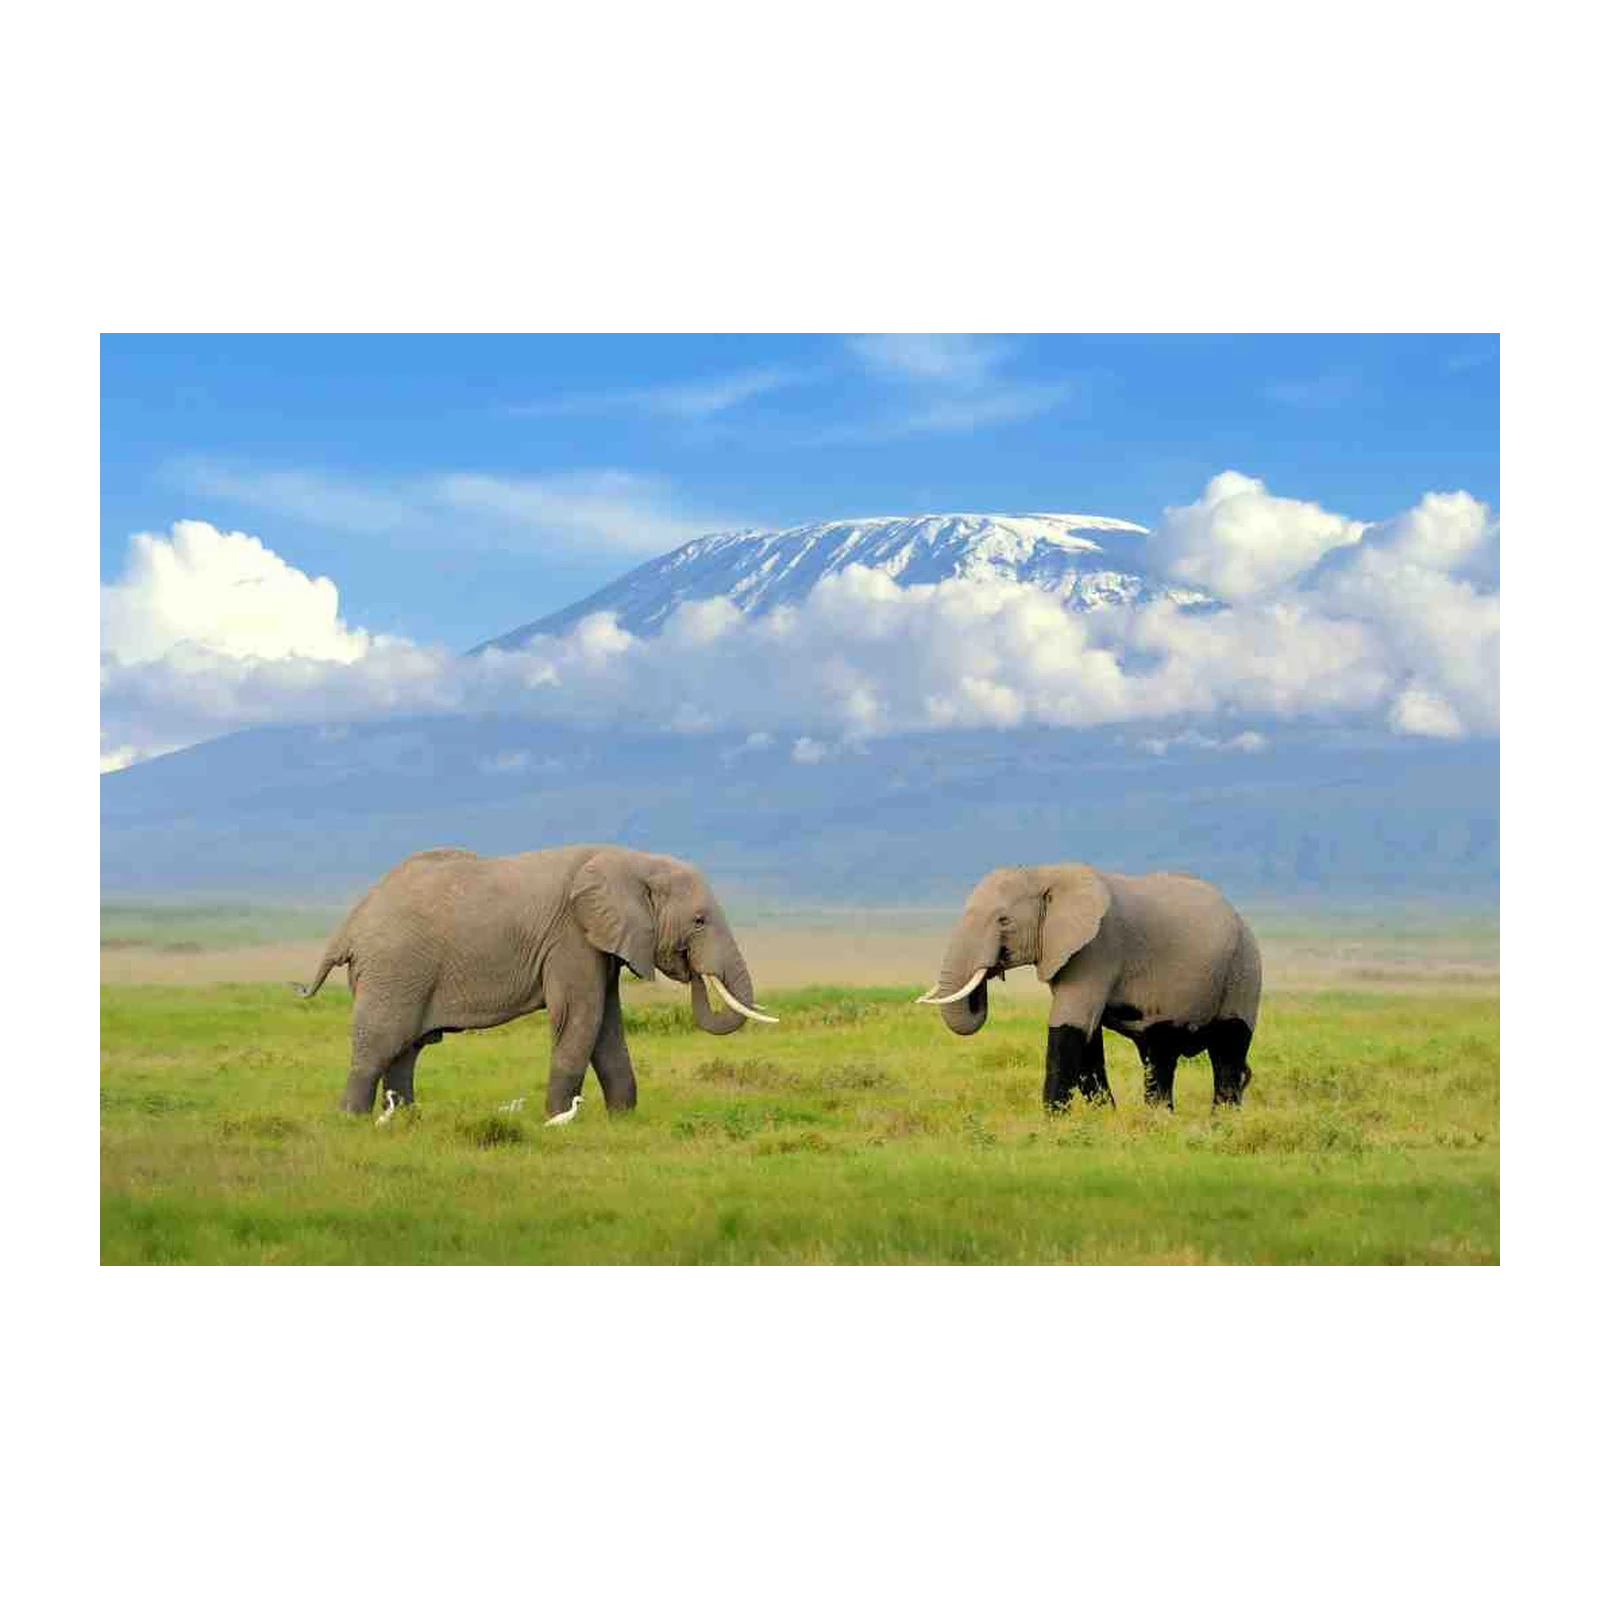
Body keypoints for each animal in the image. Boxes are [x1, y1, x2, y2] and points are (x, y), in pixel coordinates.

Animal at [292, 844, 777, 1117]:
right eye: (699, 921)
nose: (691, 967)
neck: (631, 861)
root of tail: (349, 924)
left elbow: (606, 1025)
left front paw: (623, 1119)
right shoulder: (571, 937)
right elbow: (580, 1017)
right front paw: (558, 1119)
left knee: (406, 1050)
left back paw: (408, 1119)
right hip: (394, 968)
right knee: (380, 1043)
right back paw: (353, 1120)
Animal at [916, 863, 1260, 1113]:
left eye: (1003, 921)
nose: (991, 971)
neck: (1046, 873)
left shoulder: (1097, 949)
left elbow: (1069, 1027)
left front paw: (1053, 1123)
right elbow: (1088, 1039)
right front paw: (1104, 1117)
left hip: (1243, 972)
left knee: (1228, 1051)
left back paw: (1220, 1123)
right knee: (1160, 1053)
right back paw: (1159, 1119)